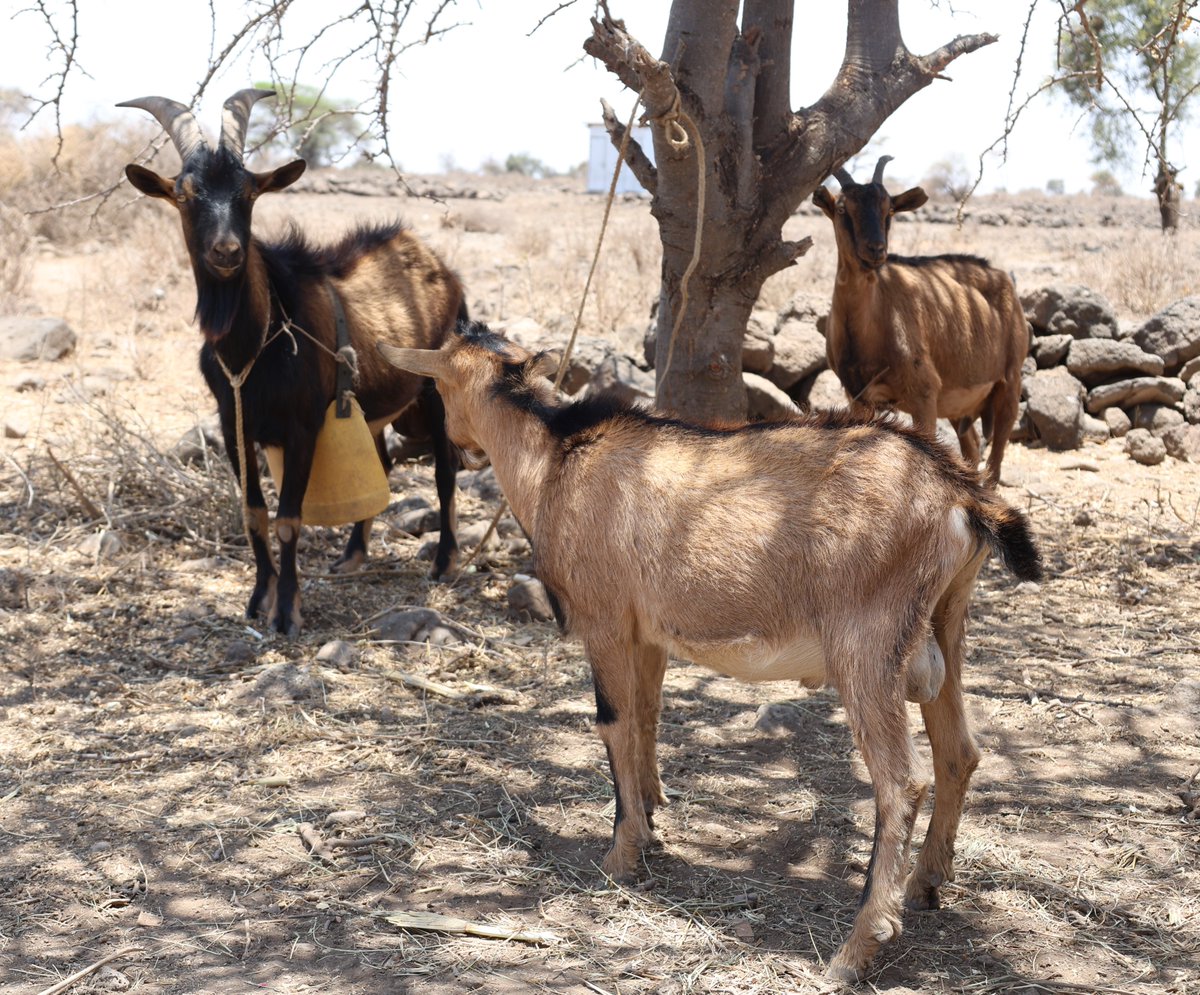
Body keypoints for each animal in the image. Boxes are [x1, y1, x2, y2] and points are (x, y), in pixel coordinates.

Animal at [119, 89, 463, 635]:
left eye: (249, 192)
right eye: (185, 194)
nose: (227, 250)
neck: (251, 349)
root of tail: (436, 262)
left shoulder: (303, 428)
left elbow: (287, 519)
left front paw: (287, 611)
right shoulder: (234, 427)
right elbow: (254, 514)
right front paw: (259, 597)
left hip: (432, 390)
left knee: (446, 469)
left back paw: (445, 561)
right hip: (370, 407)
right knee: (385, 463)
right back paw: (353, 555)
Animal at [379, 320, 1042, 982]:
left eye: (439, 390)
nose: (460, 447)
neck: (557, 459)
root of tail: (961, 498)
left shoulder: (604, 620)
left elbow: (613, 723)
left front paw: (622, 854)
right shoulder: (648, 632)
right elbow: (646, 716)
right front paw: (653, 812)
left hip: (868, 646)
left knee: (900, 785)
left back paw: (855, 950)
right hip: (945, 623)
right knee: (959, 752)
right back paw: (925, 884)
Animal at [813, 156, 1028, 487]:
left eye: (889, 209)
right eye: (841, 209)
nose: (876, 250)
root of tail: (1003, 277)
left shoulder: (924, 394)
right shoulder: (857, 397)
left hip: (1009, 381)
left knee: (995, 461)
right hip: (958, 402)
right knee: (972, 448)